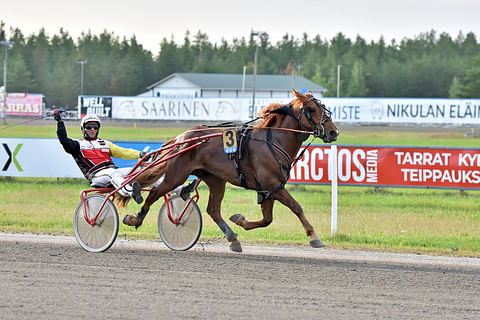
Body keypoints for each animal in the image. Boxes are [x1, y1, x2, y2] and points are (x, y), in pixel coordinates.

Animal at [122, 89, 338, 251]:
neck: (274, 141)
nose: (333, 131)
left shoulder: (269, 190)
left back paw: (233, 237)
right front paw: (314, 236)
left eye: (324, 108)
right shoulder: (272, 185)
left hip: (216, 179)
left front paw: (240, 221)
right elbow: (296, 207)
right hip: (176, 175)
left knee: (213, 210)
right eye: (311, 109)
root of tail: (182, 137)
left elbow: (267, 219)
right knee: (155, 193)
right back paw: (135, 218)